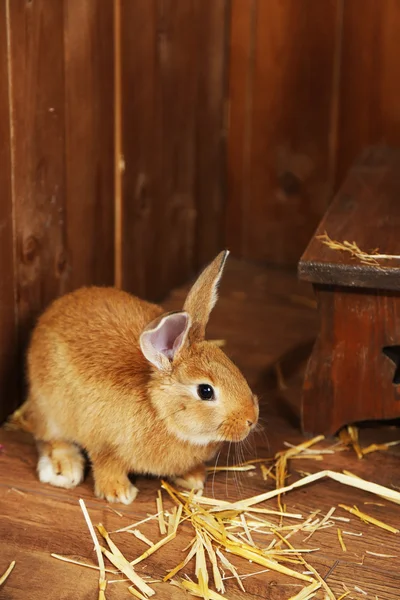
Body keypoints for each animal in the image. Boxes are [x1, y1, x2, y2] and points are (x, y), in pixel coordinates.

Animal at [13, 251, 260, 504]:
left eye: (231, 364)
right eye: (206, 391)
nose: (251, 419)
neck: (160, 411)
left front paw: (193, 478)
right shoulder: (106, 446)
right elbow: (106, 467)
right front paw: (119, 493)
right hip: (51, 409)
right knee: (49, 438)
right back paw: (65, 468)